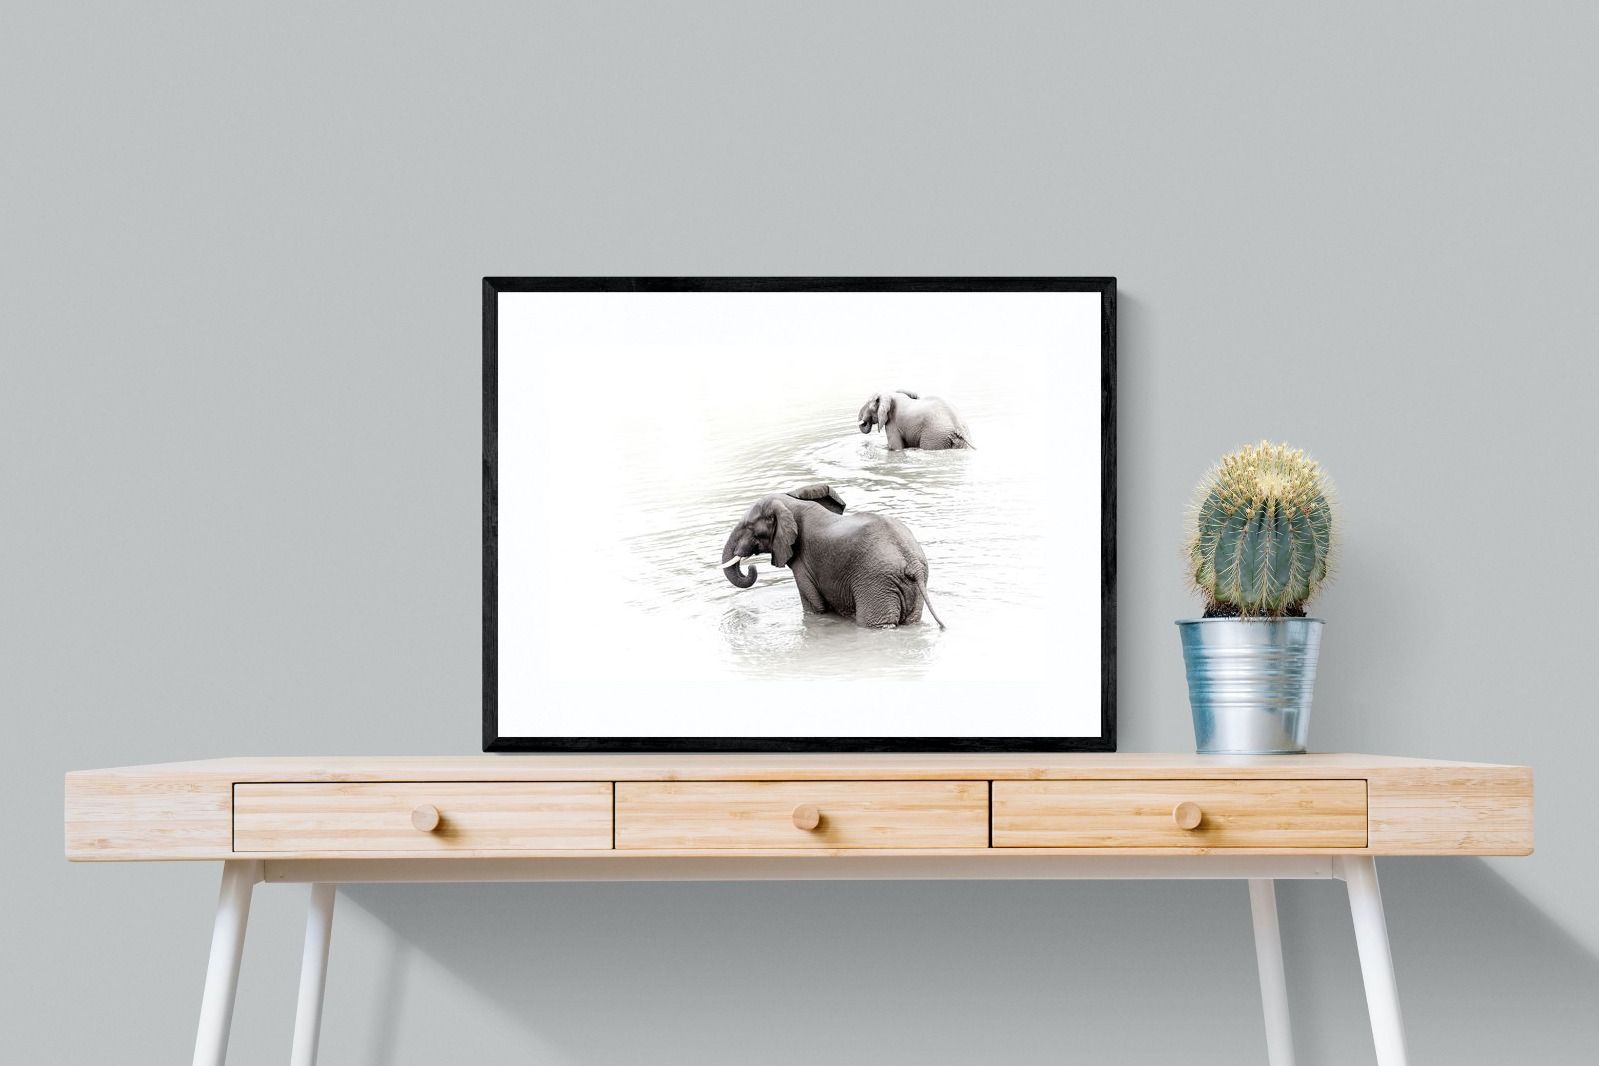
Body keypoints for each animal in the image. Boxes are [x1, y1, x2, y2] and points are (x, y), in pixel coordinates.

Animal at [720, 483, 946, 629]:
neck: (793, 503)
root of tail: (911, 562)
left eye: (749, 527)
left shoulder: (803, 563)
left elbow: (814, 607)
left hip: (876, 583)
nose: (751, 567)